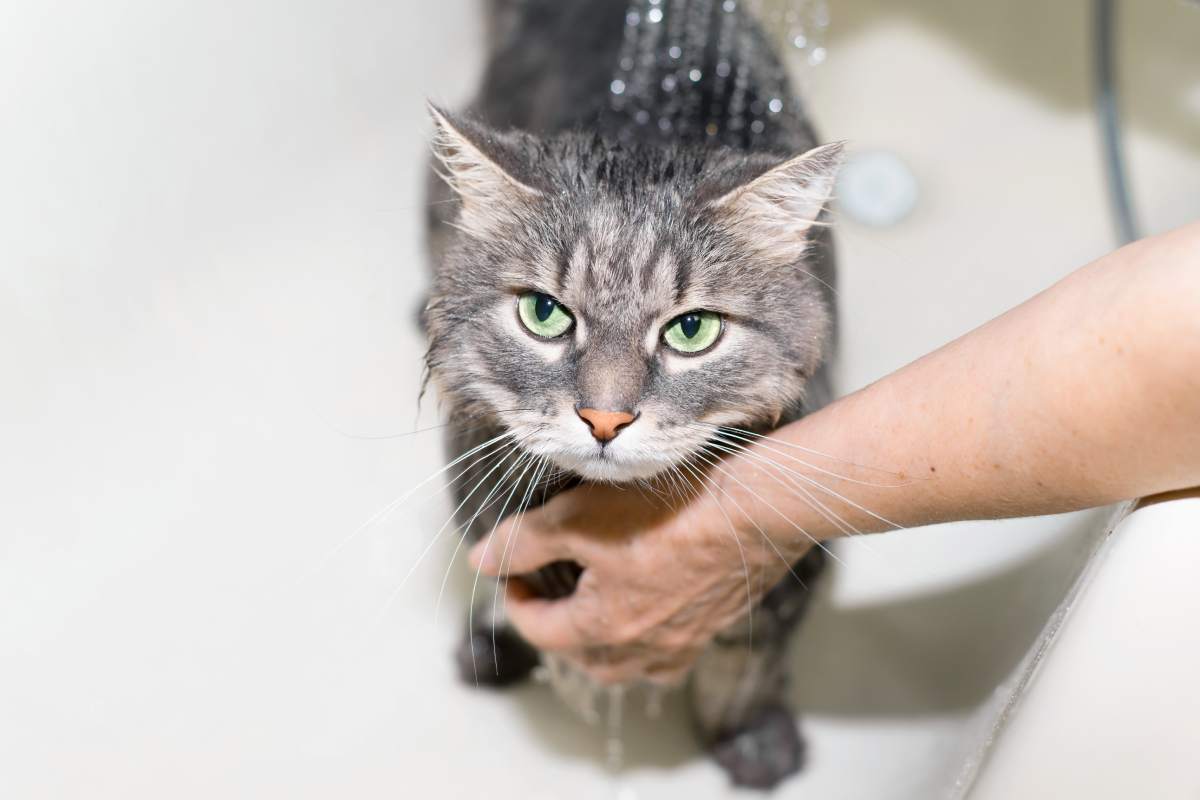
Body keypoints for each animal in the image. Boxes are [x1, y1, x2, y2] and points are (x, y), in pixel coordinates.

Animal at [427, 0, 840, 786]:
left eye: (692, 330)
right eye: (545, 314)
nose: (605, 418)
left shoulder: (791, 565)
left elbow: (747, 664)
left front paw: (752, 740)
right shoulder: (478, 493)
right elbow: (502, 589)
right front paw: (497, 646)